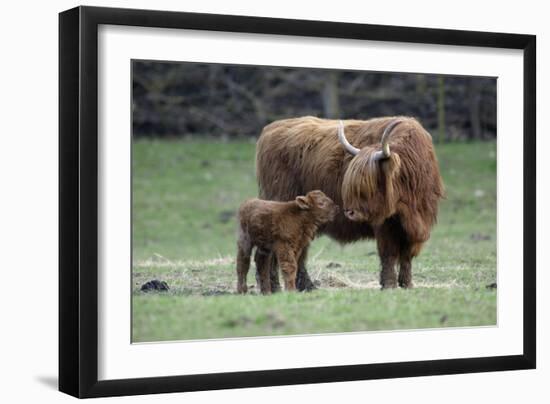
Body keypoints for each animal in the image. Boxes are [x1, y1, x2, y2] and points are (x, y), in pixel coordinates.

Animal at [256, 116, 446, 290]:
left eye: (371, 183)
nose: (350, 212)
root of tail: (271, 129)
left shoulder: (417, 224)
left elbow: (406, 256)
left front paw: (407, 284)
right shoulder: (384, 224)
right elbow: (389, 253)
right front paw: (389, 284)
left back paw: (302, 286)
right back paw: (278, 287)